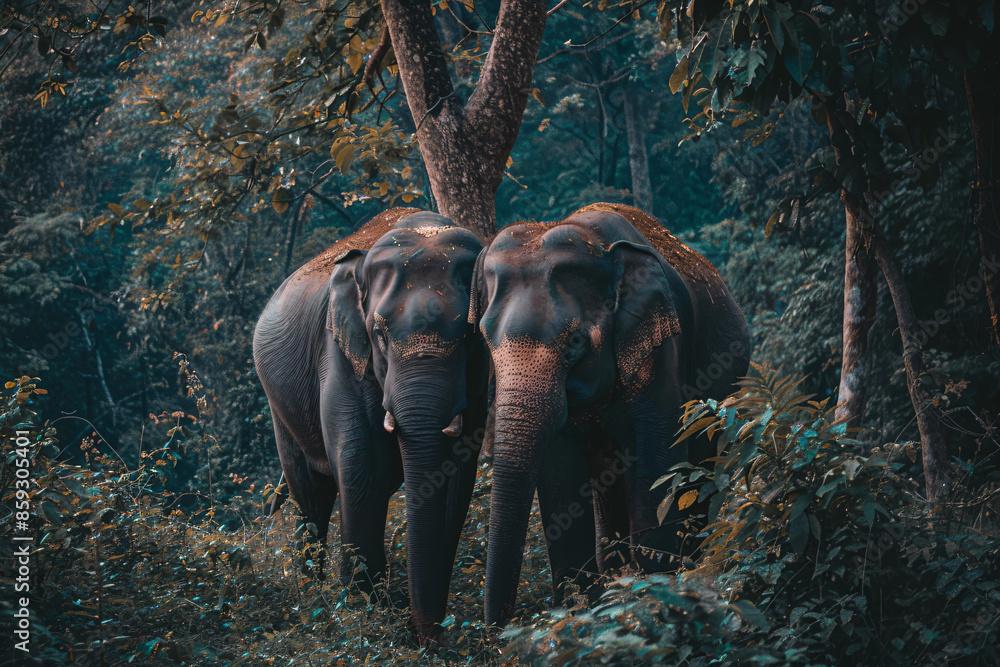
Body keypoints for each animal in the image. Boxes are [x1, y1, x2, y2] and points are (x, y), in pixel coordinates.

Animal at [253, 208, 488, 645]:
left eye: (468, 333)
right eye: (379, 334)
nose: (428, 641)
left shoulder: (480, 382)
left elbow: (456, 477)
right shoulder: (340, 356)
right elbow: (363, 468)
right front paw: (366, 620)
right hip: (280, 408)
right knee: (310, 497)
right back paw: (311, 601)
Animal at [468, 202, 750, 626]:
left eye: (575, 341)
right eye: (485, 341)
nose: (494, 632)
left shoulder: (660, 347)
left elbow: (656, 468)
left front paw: (653, 601)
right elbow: (561, 477)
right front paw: (580, 612)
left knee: (697, 479)